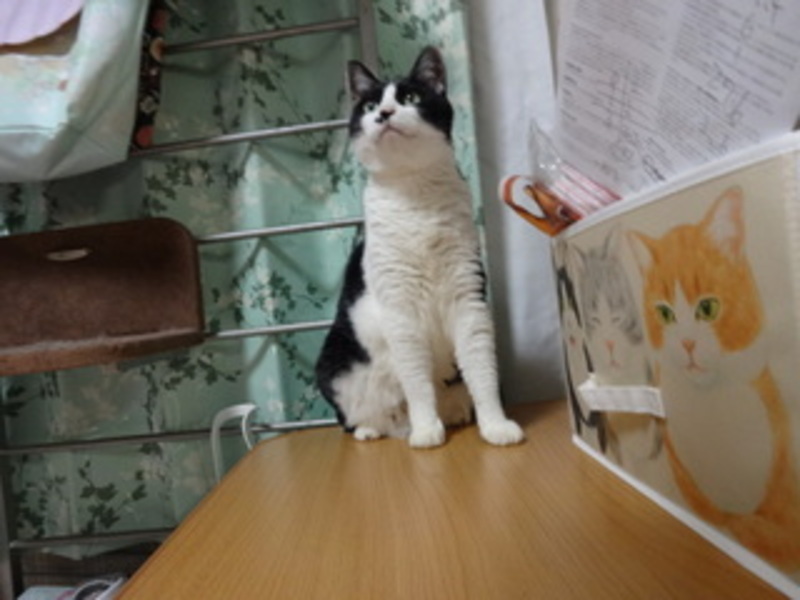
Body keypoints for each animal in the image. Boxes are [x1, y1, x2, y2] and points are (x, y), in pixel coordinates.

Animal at [315, 47, 524, 448]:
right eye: (369, 105)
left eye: (410, 98)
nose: (383, 113)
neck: (415, 193)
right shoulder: (401, 312)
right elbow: (416, 382)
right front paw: (426, 430)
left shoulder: (468, 296)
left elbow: (481, 371)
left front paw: (495, 425)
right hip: (333, 363)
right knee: (355, 418)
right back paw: (378, 428)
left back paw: (453, 415)